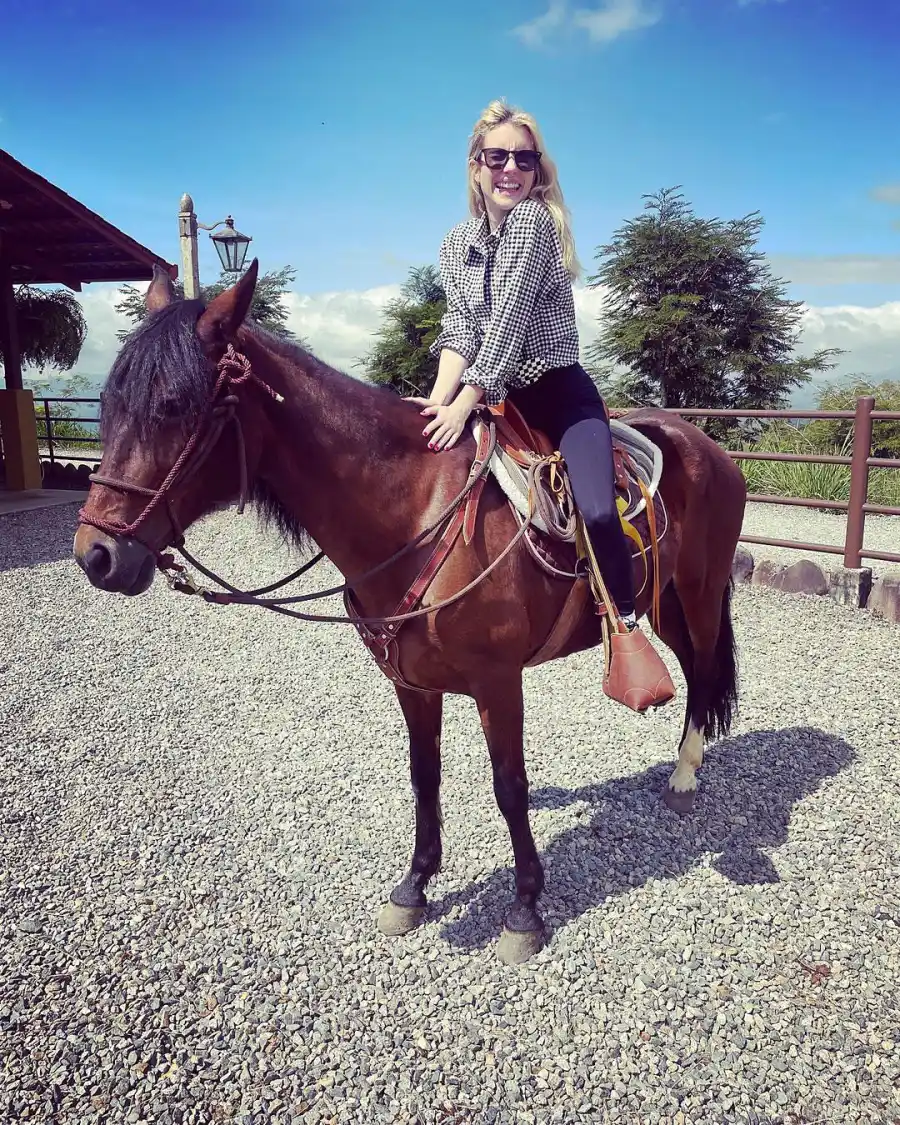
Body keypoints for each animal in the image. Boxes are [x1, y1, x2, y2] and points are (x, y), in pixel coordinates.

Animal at [73, 260, 747, 965]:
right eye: (110, 405)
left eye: (173, 406)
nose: (96, 554)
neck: (416, 513)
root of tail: (707, 446)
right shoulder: (410, 682)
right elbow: (425, 776)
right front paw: (415, 887)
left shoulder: (497, 681)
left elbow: (510, 787)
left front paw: (524, 909)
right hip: (662, 601)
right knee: (693, 666)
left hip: (699, 593)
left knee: (703, 669)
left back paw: (685, 776)